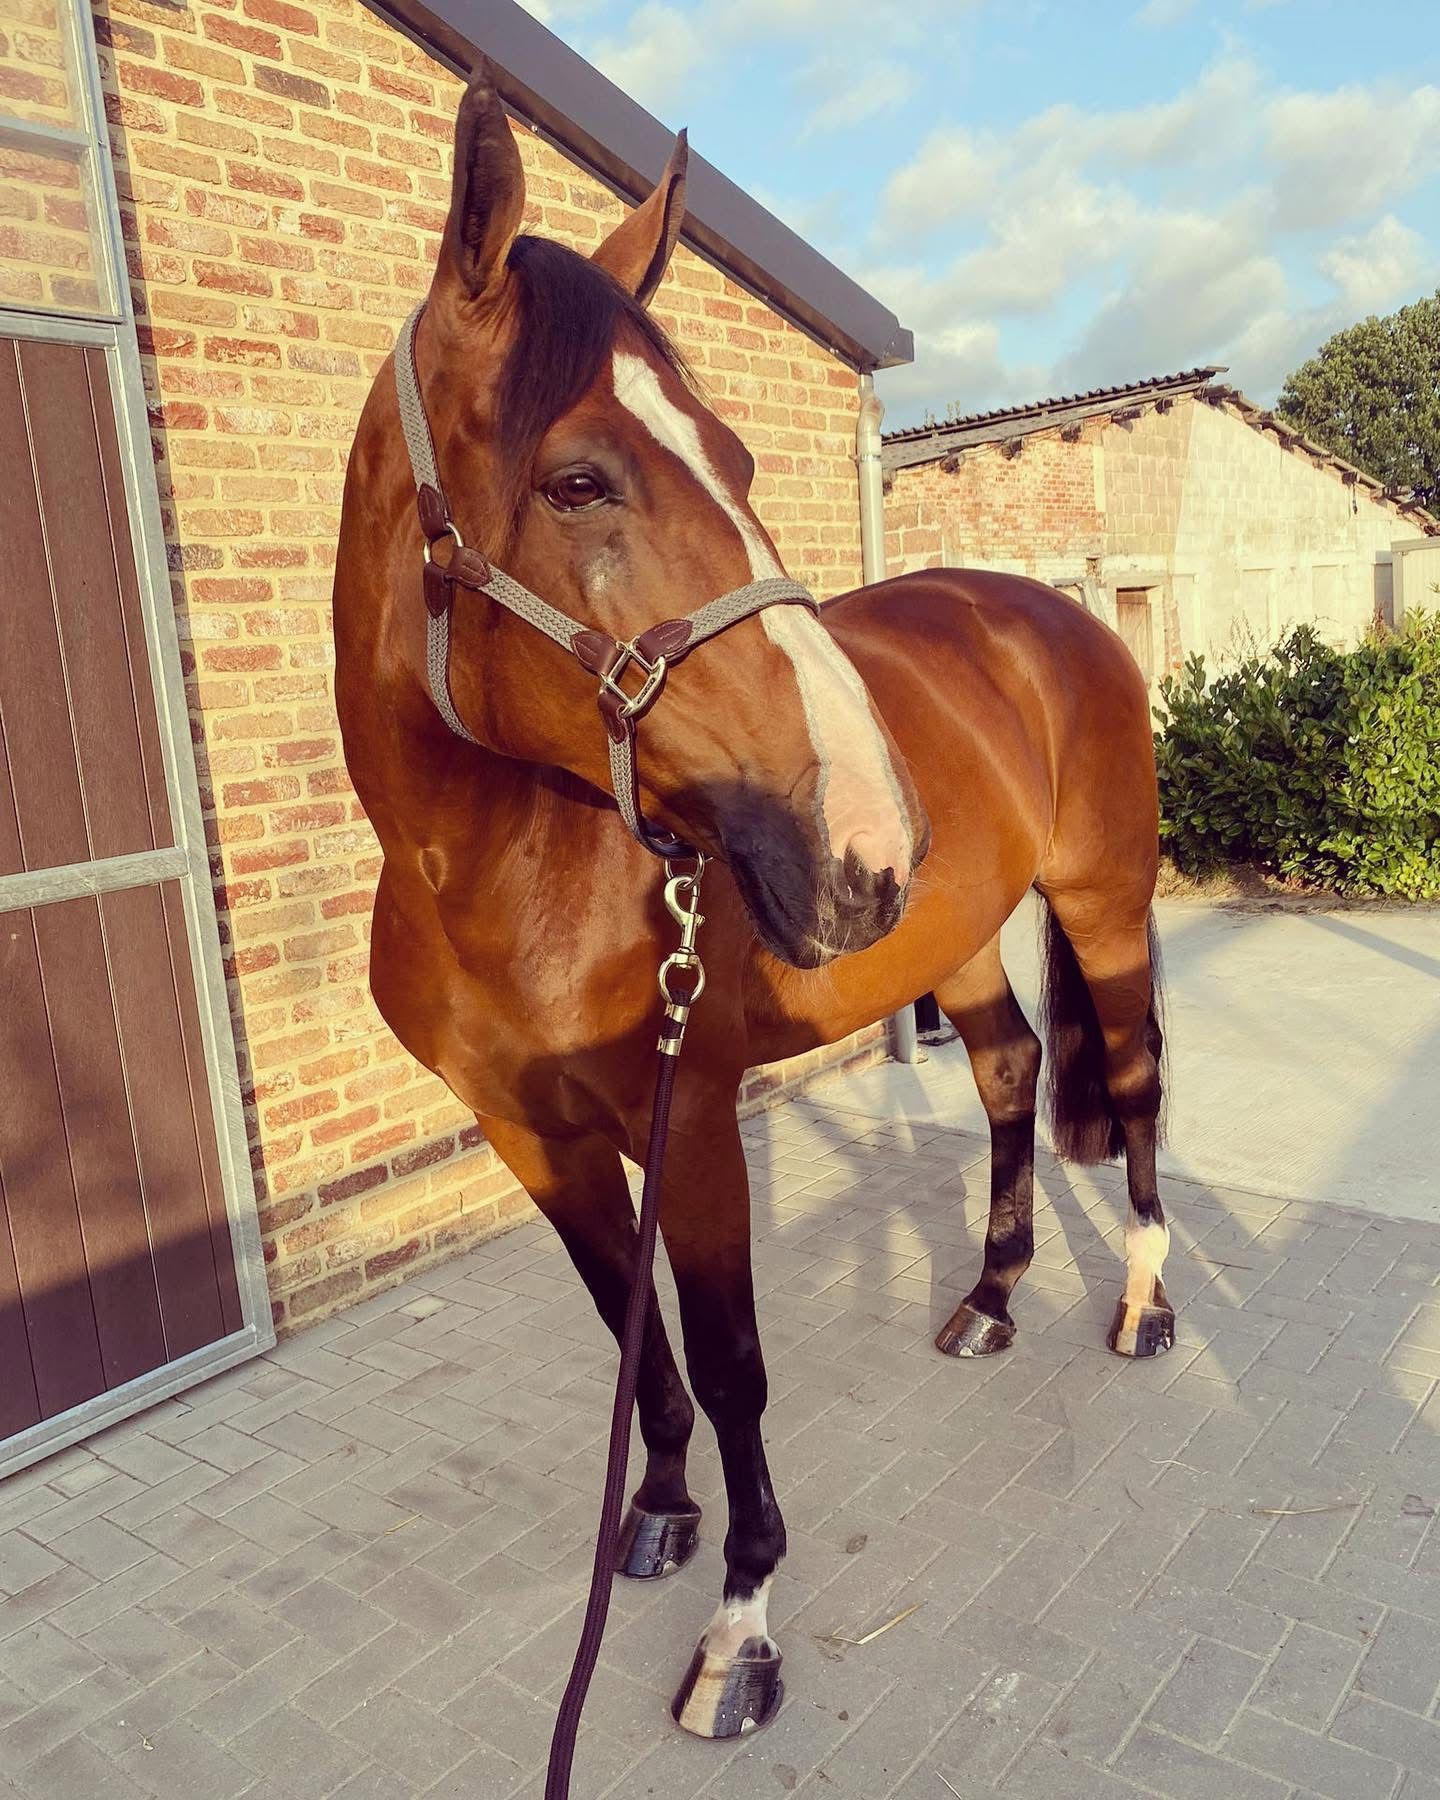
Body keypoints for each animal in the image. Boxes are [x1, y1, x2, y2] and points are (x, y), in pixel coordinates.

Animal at [333, 69, 1172, 1742]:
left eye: (737, 458)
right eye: (577, 479)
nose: (868, 834)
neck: (505, 879)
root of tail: (1051, 613)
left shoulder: (699, 1120)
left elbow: (729, 1363)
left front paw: (742, 1627)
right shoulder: (532, 1134)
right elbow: (632, 1330)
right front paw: (659, 1510)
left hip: (1105, 909)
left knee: (1138, 1081)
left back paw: (1145, 1306)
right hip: (954, 943)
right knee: (1008, 1075)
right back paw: (990, 1299)